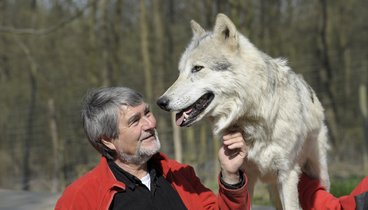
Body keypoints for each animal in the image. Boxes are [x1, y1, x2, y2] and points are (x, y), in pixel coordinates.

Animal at [157, 13, 330, 210]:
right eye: (180, 72)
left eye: (197, 68)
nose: (161, 102)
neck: (253, 120)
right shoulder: (245, 174)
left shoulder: (287, 174)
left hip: (317, 175)